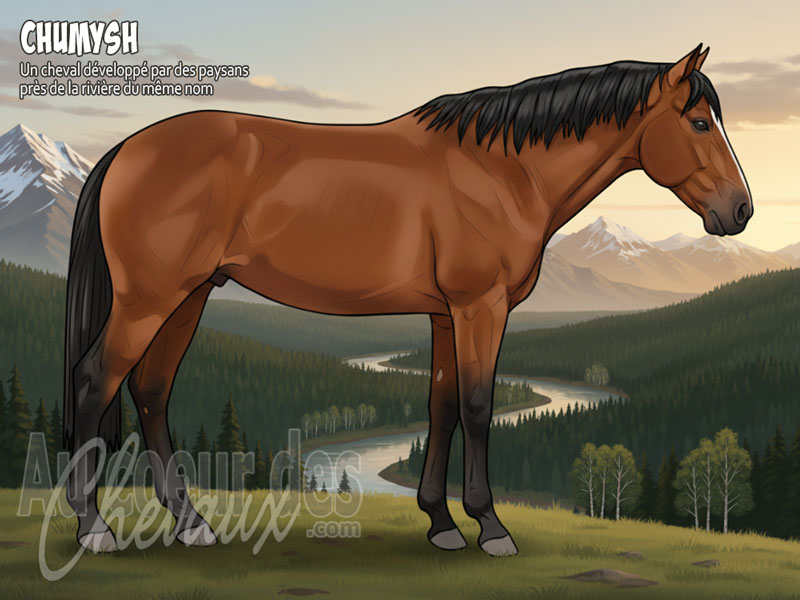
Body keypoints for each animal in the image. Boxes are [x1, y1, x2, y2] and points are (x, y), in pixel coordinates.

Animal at [64, 44, 751, 555]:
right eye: (698, 121)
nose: (740, 211)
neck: (503, 171)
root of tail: (126, 149)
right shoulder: (480, 307)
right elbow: (477, 406)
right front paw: (490, 527)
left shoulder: (446, 314)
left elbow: (441, 406)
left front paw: (440, 523)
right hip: (149, 299)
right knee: (96, 380)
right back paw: (94, 527)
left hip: (189, 297)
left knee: (151, 391)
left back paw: (191, 522)